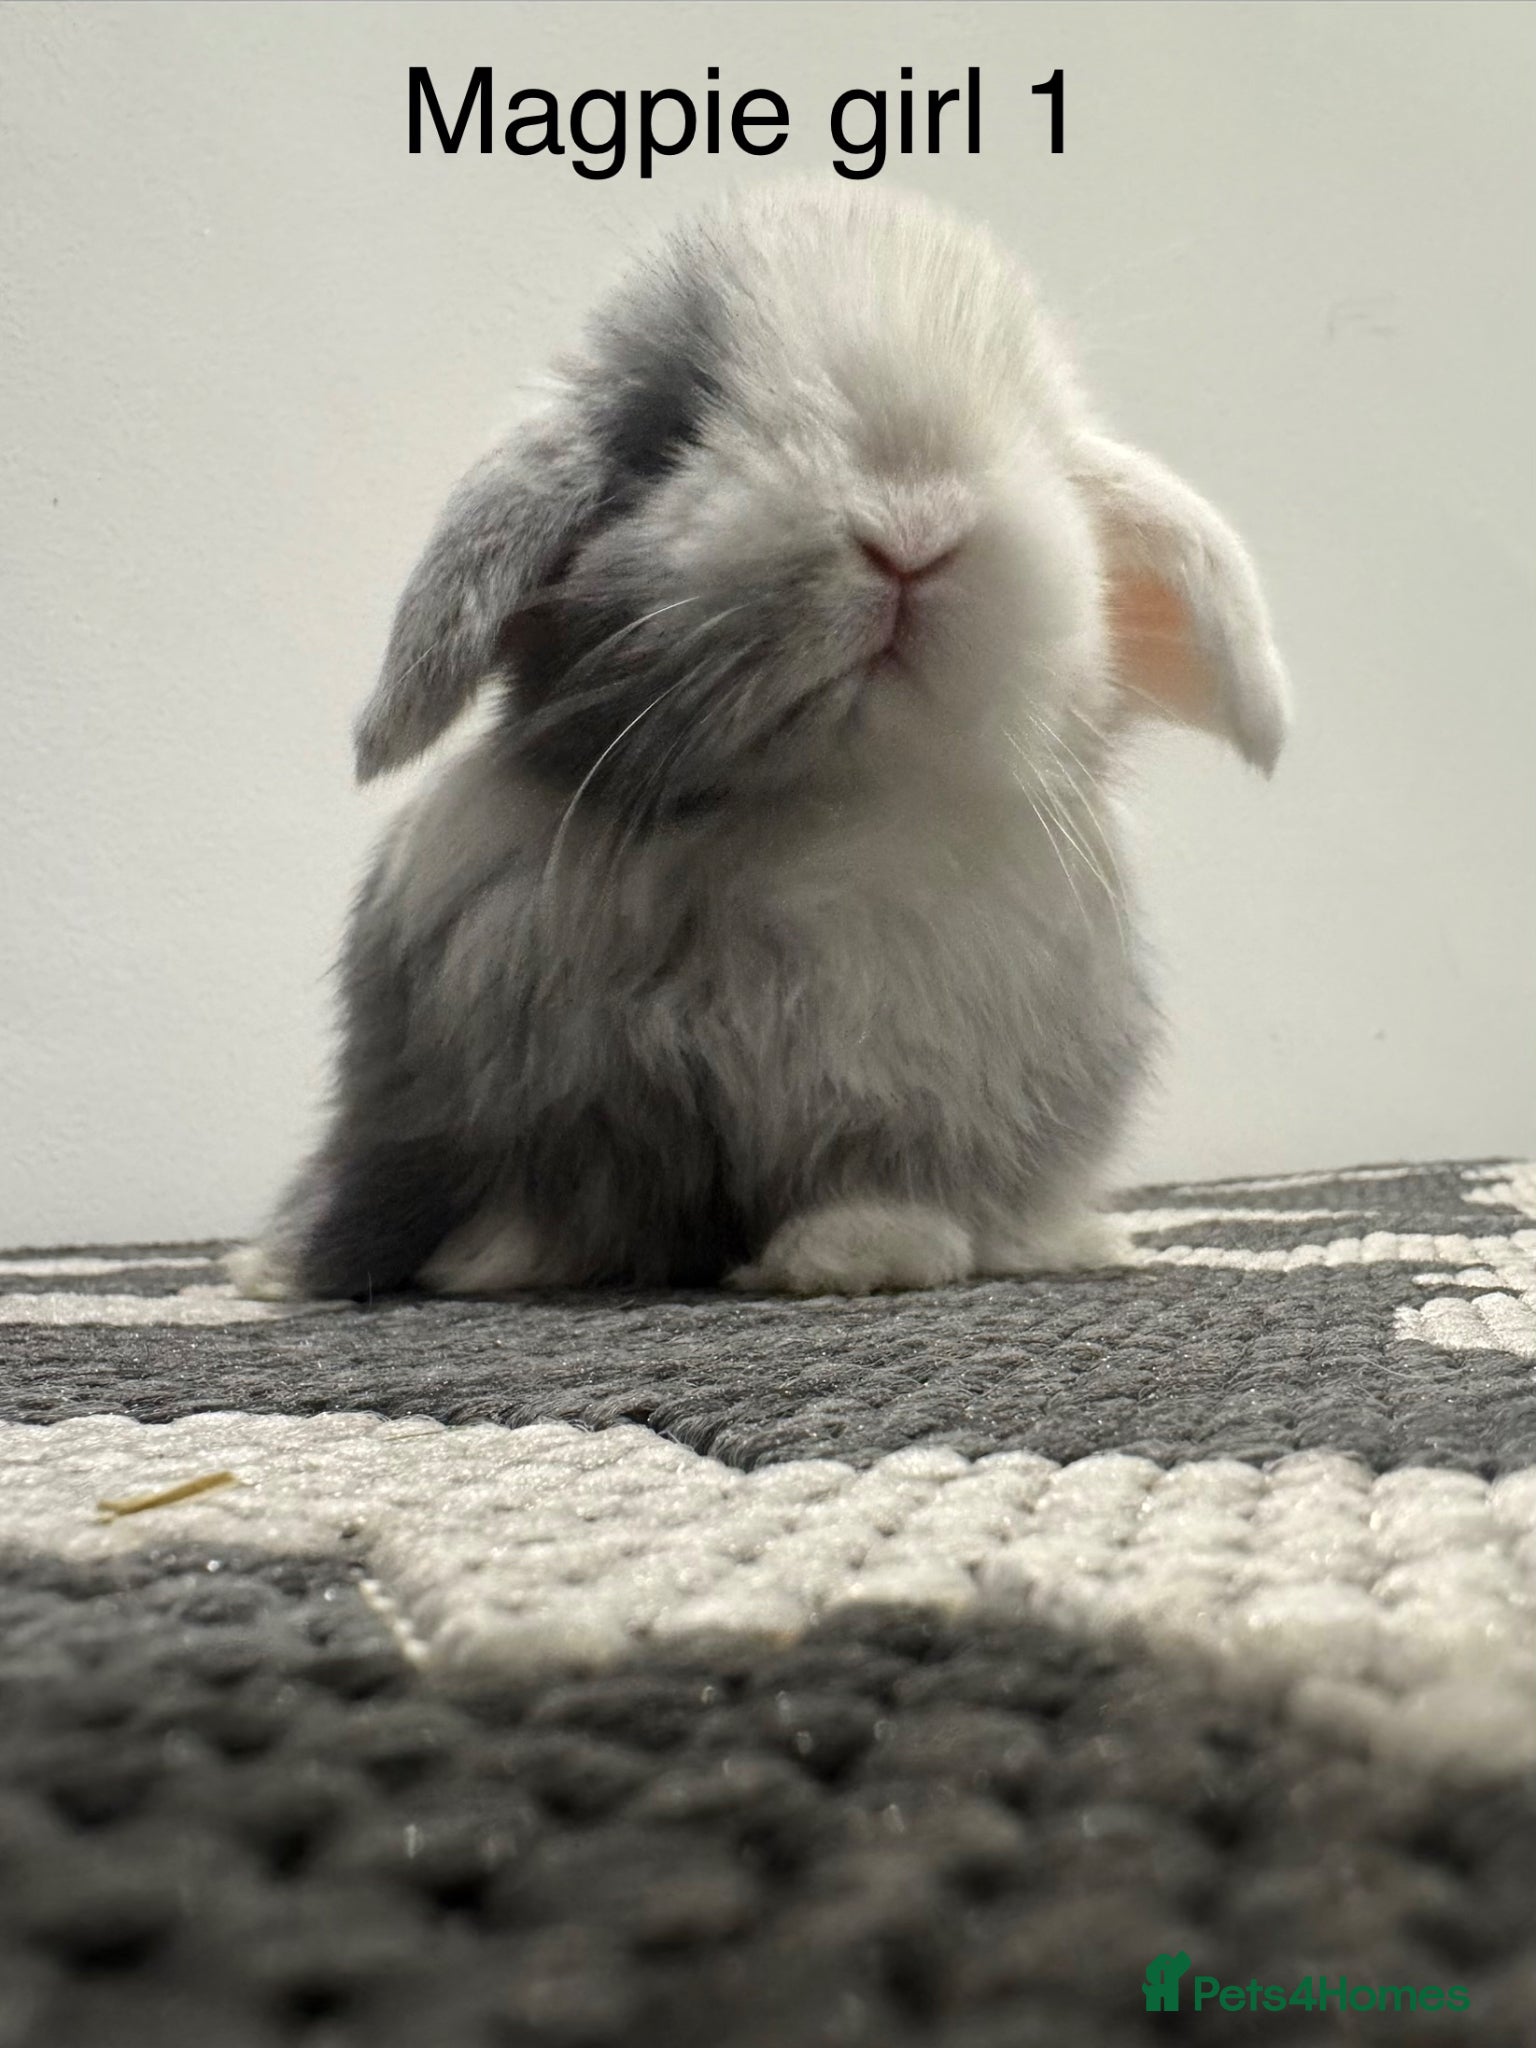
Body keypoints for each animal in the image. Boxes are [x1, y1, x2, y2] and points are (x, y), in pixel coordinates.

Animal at [229, 179, 1289, 1302]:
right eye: (672, 433)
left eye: (1036, 434)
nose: (913, 527)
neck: (815, 815)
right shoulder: (545, 1096)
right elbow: (554, 1192)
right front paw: (496, 1259)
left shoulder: (917, 1098)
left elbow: (881, 1176)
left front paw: (859, 1258)